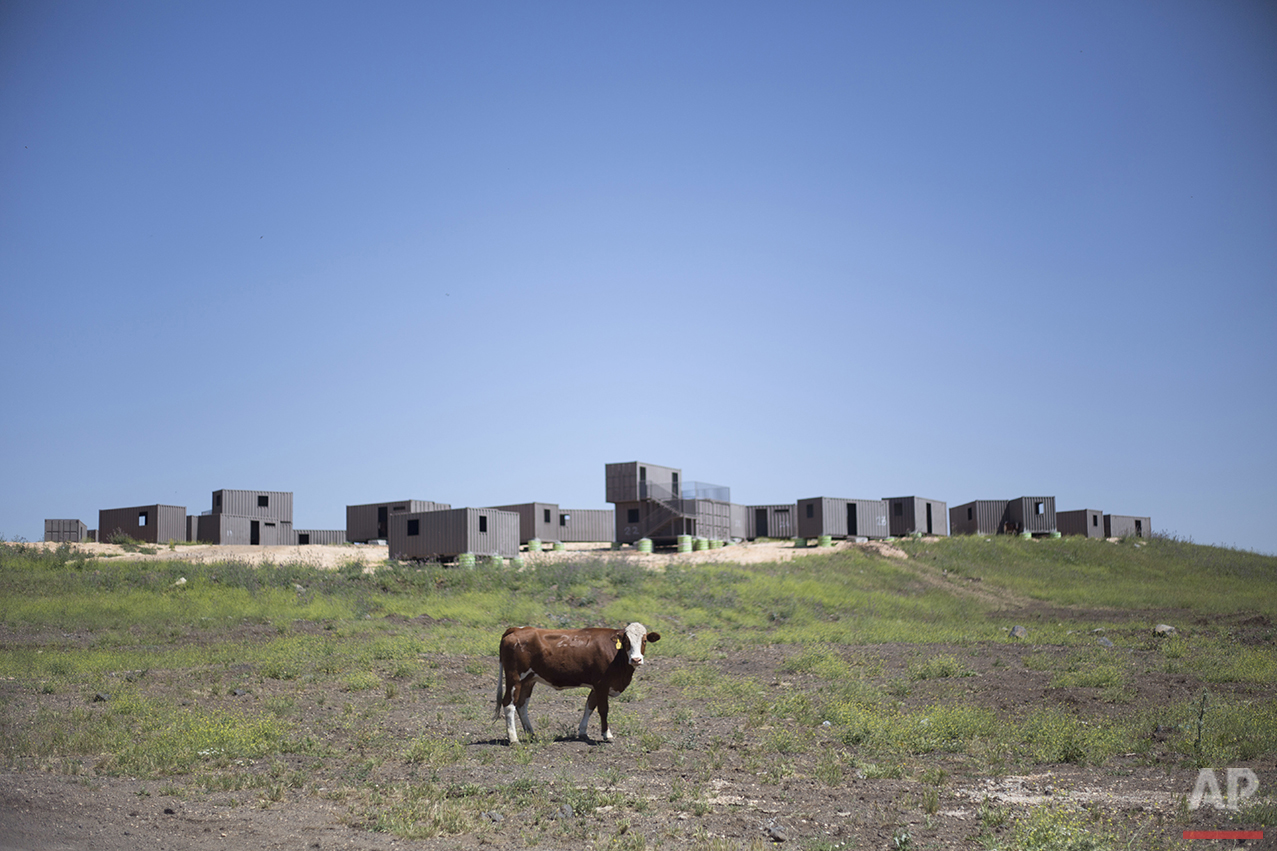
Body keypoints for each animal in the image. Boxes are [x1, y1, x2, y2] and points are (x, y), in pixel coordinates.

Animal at [492, 615, 664, 741]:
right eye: (626, 641)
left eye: (644, 640)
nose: (636, 659)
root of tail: (517, 629)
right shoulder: (602, 684)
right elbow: (603, 709)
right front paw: (606, 735)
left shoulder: (596, 685)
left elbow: (589, 706)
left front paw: (582, 732)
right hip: (514, 677)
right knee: (509, 704)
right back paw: (513, 738)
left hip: (528, 680)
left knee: (522, 705)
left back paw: (532, 734)